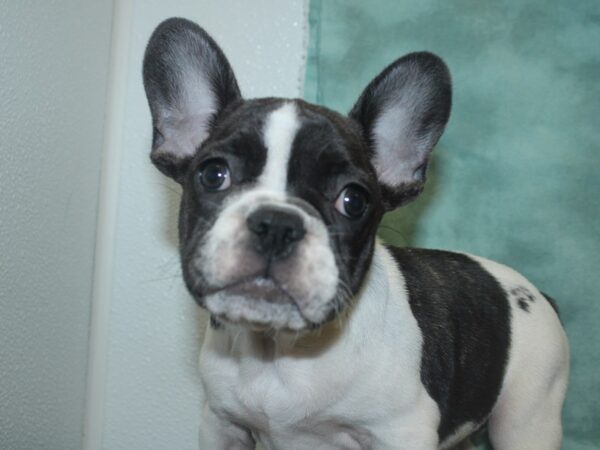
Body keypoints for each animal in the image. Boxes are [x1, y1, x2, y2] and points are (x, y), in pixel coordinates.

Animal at [143, 17, 568, 450]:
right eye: (214, 175)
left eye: (353, 200)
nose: (277, 224)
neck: (279, 349)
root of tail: (538, 294)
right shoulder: (221, 424)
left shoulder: (402, 431)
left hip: (527, 419)